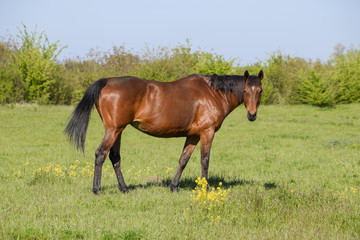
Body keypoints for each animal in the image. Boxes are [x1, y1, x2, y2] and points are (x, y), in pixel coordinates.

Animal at [64, 70, 262, 194]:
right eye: (245, 90)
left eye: (260, 90)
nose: (252, 115)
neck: (213, 93)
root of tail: (108, 81)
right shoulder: (207, 132)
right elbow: (204, 160)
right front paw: (204, 188)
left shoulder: (193, 135)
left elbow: (183, 160)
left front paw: (174, 186)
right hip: (113, 131)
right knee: (100, 154)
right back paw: (97, 189)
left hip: (118, 131)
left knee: (114, 158)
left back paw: (124, 188)